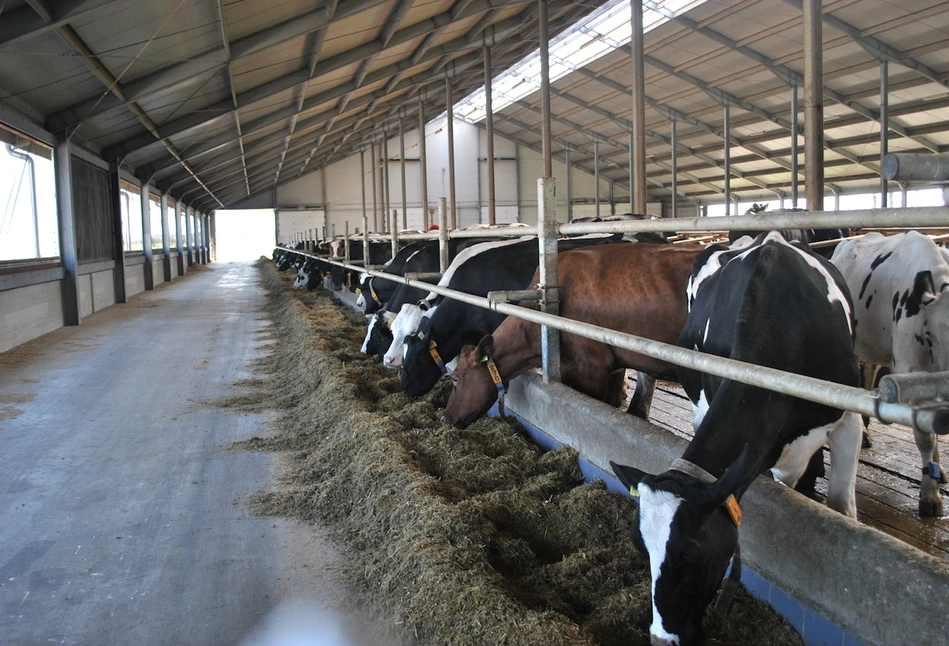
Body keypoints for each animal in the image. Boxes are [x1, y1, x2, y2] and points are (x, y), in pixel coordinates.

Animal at [828, 230, 948, 520]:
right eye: (934, 333)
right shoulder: (908, 368)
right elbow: (925, 436)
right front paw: (930, 496)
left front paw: (938, 472)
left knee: (870, 370)